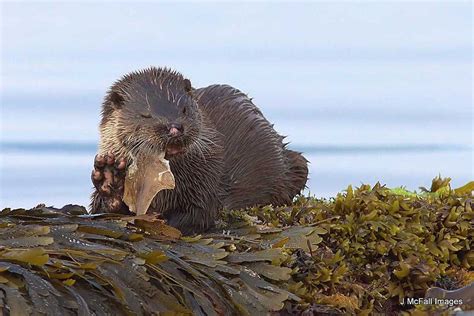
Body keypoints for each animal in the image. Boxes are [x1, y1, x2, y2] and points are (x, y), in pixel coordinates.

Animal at [90, 67, 310, 235]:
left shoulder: (207, 178)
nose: (174, 127)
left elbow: (199, 213)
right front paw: (109, 178)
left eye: (184, 109)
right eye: (145, 114)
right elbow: (100, 209)